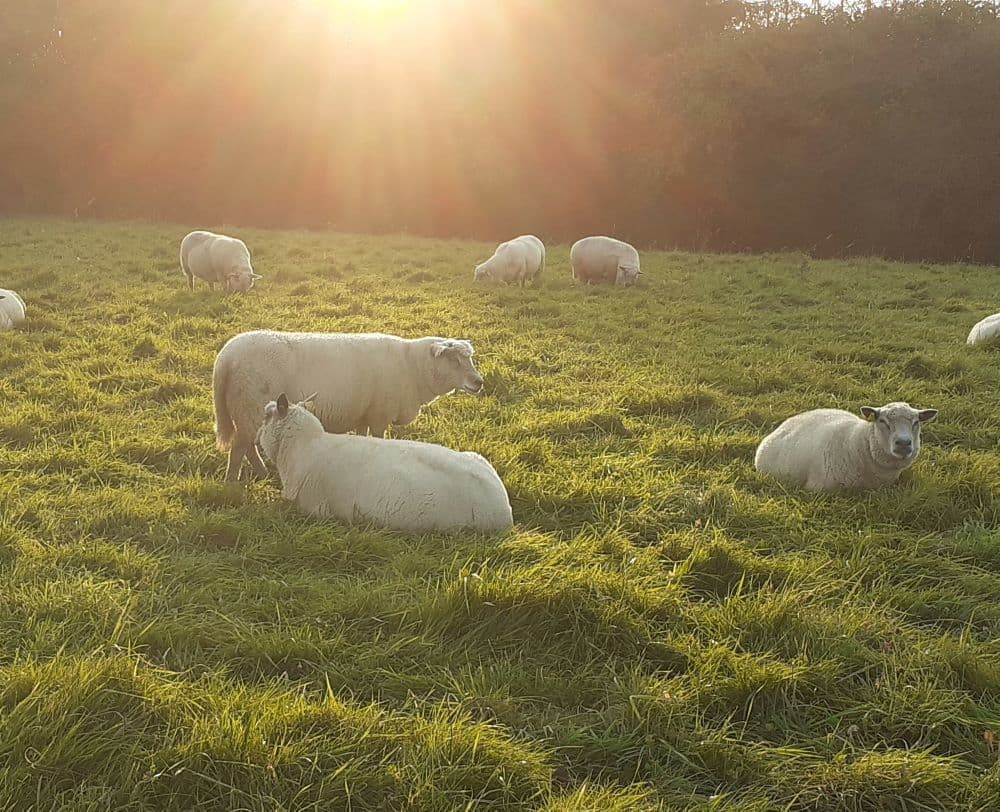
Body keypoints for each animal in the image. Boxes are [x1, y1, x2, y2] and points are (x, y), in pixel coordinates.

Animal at [213, 330, 486, 482]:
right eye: (453, 360)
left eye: (469, 359)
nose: (479, 382)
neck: (413, 367)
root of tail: (225, 358)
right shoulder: (379, 414)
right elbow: (379, 438)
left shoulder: (364, 414)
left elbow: (362, 437)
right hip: (250, 405)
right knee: (239, 448)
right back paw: (232, 484)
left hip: (246, 410)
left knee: (247, 445)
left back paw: (261, 474)